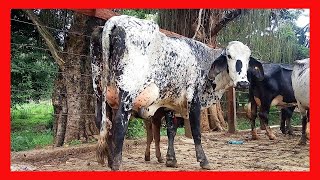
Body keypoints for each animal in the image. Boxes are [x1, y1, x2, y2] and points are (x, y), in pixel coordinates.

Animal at [90, 15, 262, 170]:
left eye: (248, 60)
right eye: (229, 56)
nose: (243, 83)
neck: (203, 60)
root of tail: (116, 20)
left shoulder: (169, 104)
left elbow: (171, 131)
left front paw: (171, 159)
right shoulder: (194, 101)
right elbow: (196, 132)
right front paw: (203, 160)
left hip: (100, 92)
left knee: (103, 122)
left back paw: (110, 160)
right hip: (127, 94)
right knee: (119, 122)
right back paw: (116, 164)